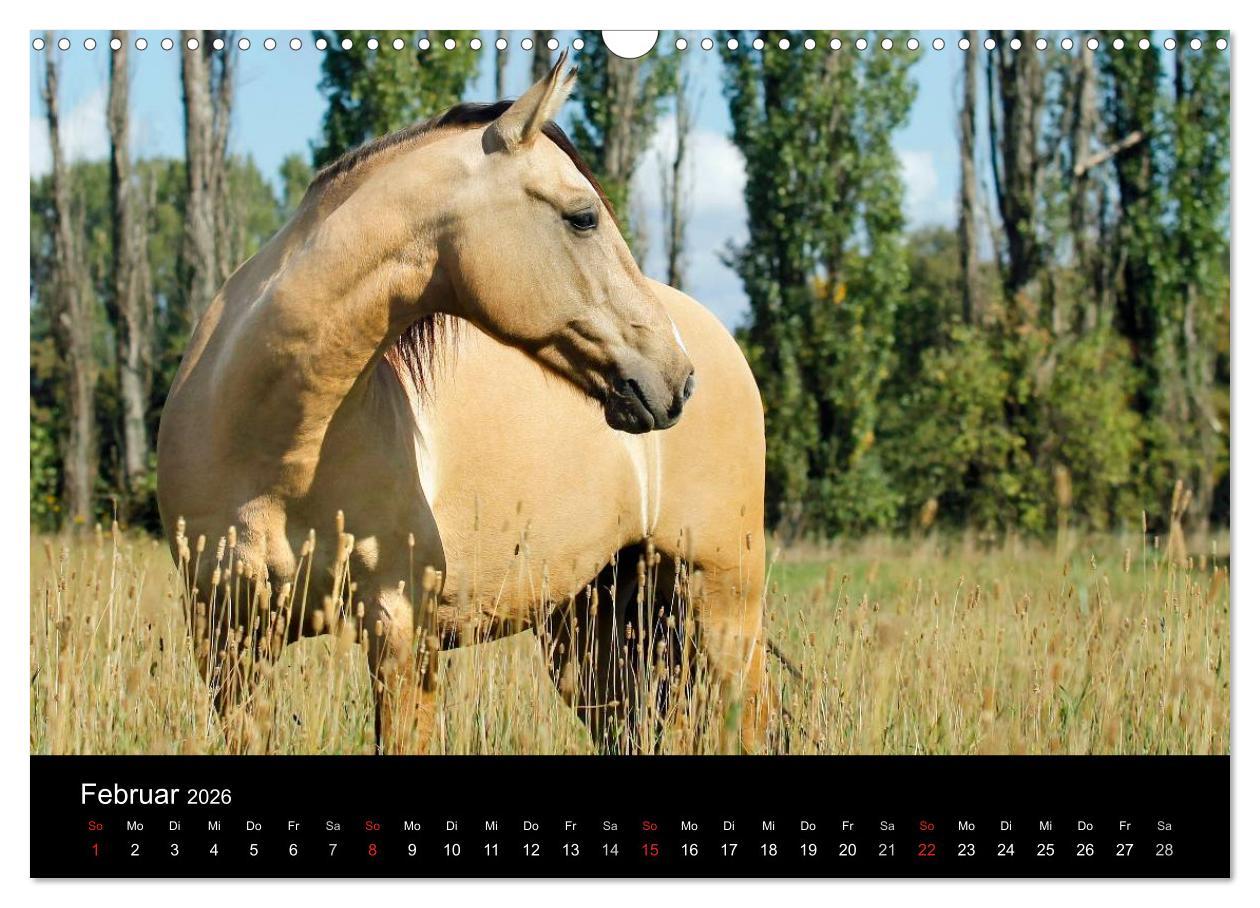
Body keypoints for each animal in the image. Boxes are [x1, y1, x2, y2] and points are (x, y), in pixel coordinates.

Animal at [156, 54, 770, 754]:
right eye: (583, 216)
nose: (677, 379)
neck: (274, 447)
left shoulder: (400, 632)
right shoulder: (226, 640)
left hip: (724, 605)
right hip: (593, 633)